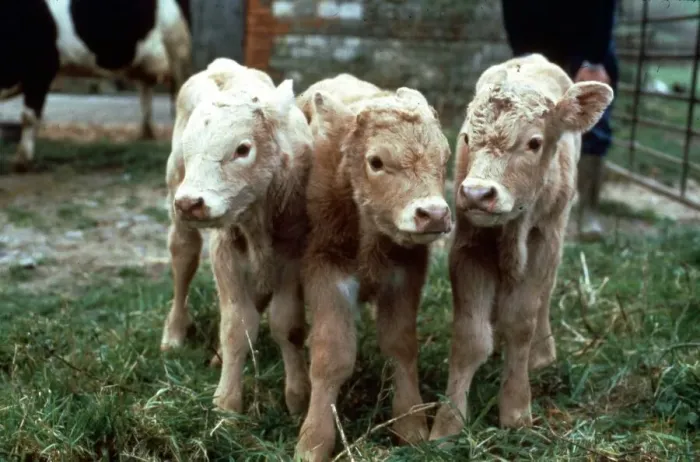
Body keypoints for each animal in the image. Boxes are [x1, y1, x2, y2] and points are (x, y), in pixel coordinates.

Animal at [0, 0, 192, 172]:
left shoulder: (42, 70)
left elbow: (28, 117)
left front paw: (22, 161)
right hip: (145, 61)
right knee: (145, 91)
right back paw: (145, 134)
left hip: (177, 49)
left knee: (178, 94)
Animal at [160, 57, 314, 417]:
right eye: (189, 148)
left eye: (243, 149)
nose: (191, 203)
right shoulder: (225, 251)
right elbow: (236, 326)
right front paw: (227, 404)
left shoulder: (294, 254)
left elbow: (287, 323)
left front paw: (298, 397)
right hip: (177, 200)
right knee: (183, 258)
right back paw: (174, 334)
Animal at [293, 74, 453, 461]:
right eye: (376, 161)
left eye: (445, 157)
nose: (433, 214)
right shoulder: (325, 270)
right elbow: (331, 355)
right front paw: (313, 441)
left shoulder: (406, 273)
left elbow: (401, 345)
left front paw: (411, 427)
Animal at [428, 53, 614, 440]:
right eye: (466, 137)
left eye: (533, 143)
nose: (477, 194)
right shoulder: (469, 245)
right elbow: (469, 335)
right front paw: (448, 422)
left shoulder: (543, 242)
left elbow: (521, 323)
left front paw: (515, 410)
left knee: (545, 297)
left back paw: (542, 354)